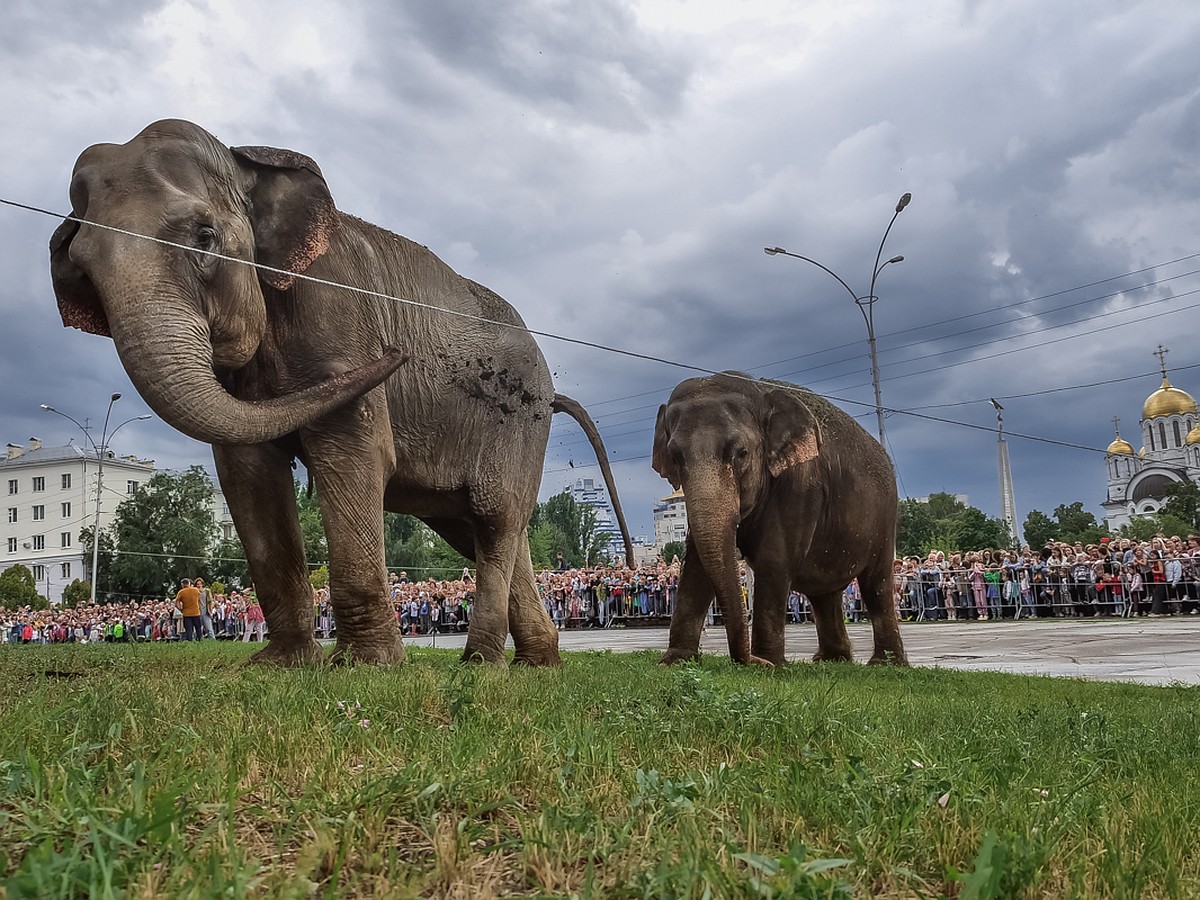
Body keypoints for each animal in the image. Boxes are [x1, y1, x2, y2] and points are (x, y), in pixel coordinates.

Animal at [51, 118, 633, 672]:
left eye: (204, 236)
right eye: (83, 267)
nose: (397, 352)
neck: (246, 163)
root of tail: (552, 394)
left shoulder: (338, 316)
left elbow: (351, 451)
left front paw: (366, 666)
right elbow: (248, 472)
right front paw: (279, 665)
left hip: (516, 423)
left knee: (493, 521)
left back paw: (481, 664)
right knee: (488, 531)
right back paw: (537, 662)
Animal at [652, 374, 902, 672]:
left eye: (741, 453)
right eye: (675, 457)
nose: (749, 661)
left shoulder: (800, 485)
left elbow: (774, 559)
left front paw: (770, 663)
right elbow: (696, 563)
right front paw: (675, 660)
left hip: (884, 518)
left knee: (876, 585)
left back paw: (886, 664)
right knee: (824, 593)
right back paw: (831, 660)